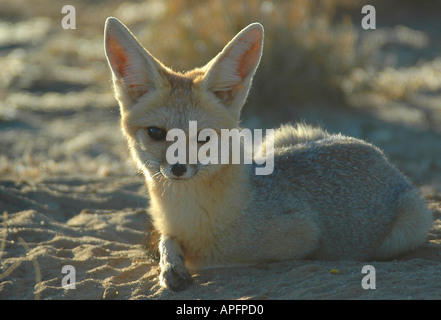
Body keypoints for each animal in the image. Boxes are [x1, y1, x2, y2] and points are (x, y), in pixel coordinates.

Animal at [105, 18, 432, 292]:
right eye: (156, 133)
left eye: (204, 137)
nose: (177, 169)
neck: (186, 212)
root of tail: (379, 155)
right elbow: (166, 239)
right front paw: (169, 263)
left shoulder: (301, 236)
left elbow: (208, 256)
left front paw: (179, 261)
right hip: (278, 137)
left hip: (408, 227)